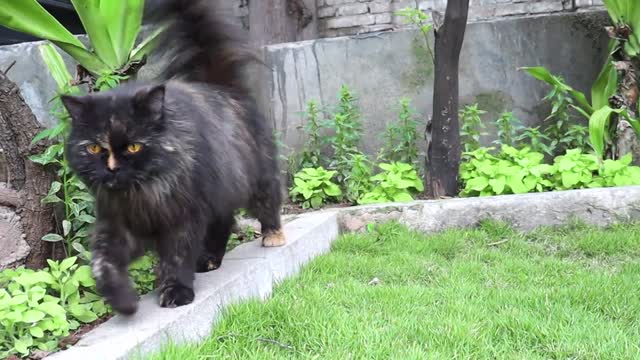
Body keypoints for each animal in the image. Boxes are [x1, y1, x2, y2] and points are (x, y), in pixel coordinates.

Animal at [60, 0, 284, 316]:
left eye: (133, 147)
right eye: (93, 149)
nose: (112, 169)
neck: (141, 194)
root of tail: (220, 87)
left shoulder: (183, 218)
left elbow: (176, 258)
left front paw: (176, 291)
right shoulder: (116, 223)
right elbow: (103, 263)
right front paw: (122, 300)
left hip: (255, 178)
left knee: (269, 202)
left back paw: (273, 236)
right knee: (224, 222)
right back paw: (209, 259)